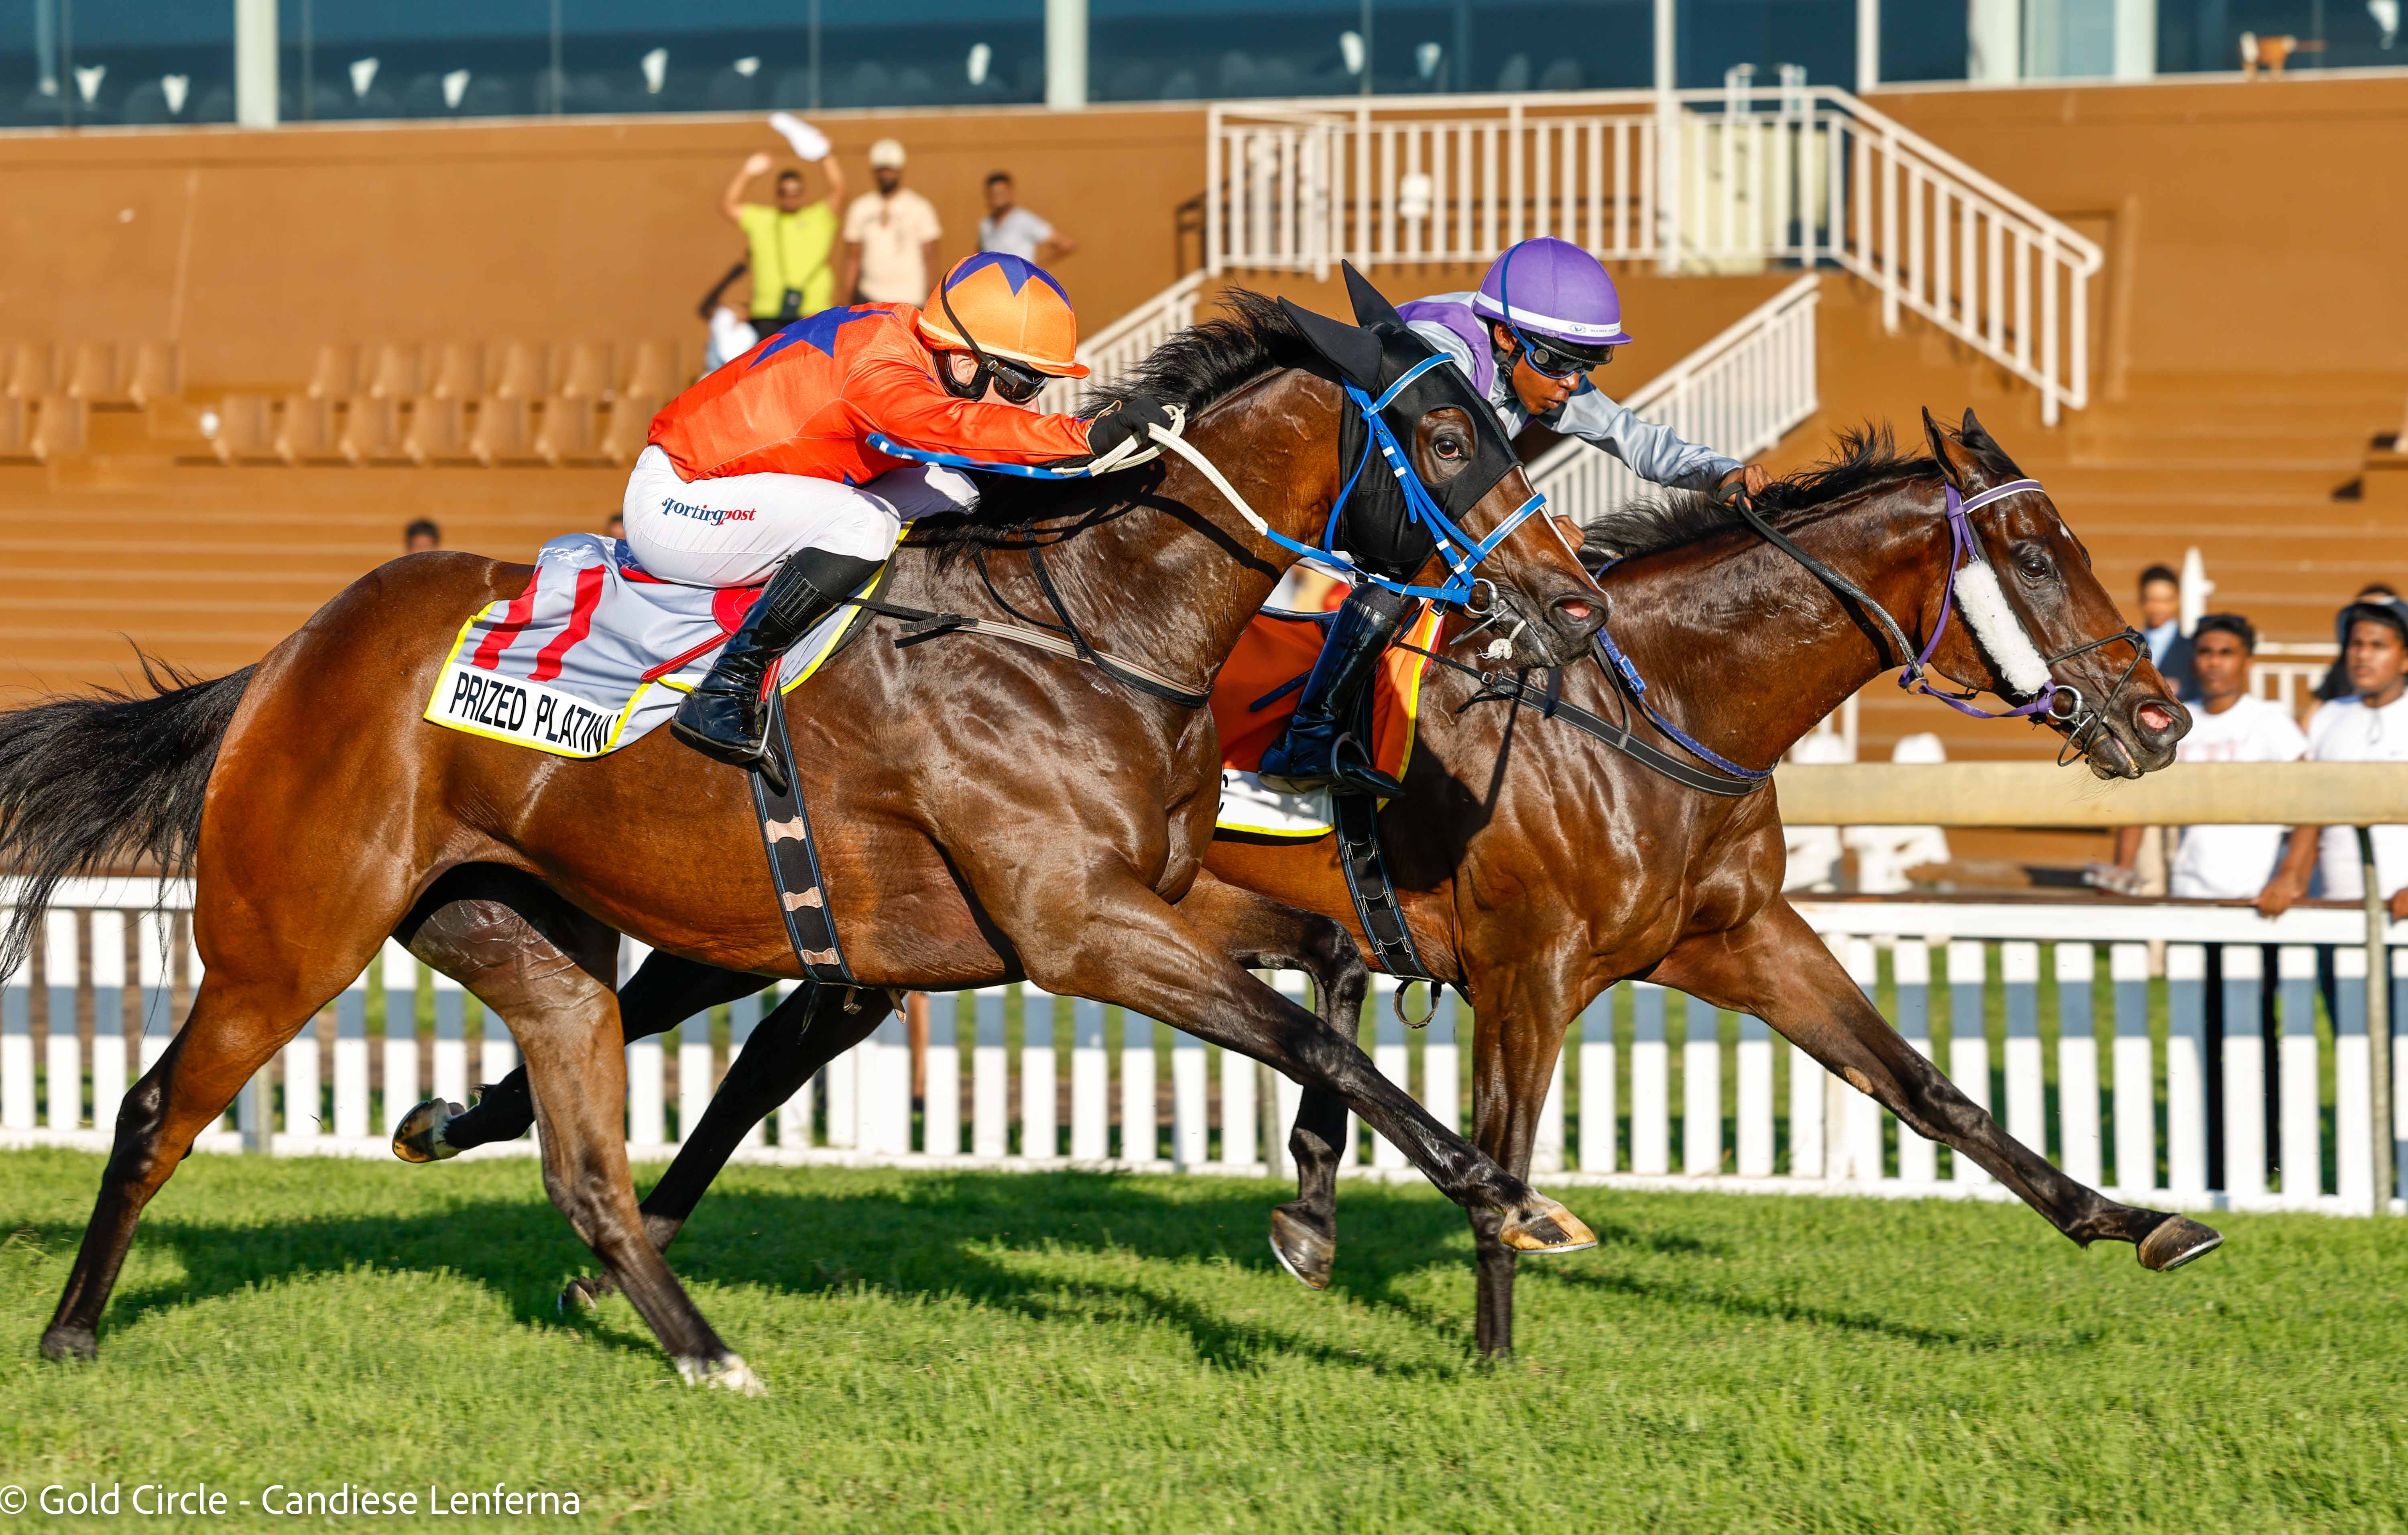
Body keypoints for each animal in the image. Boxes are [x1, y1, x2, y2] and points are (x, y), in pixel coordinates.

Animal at [0, 291, 1612, 1389]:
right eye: (1448, 436)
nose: (1574, 595)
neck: (1098, 626)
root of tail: (284, 657)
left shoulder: (1119, 903)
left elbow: (1327, 982)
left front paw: (1342, 1212)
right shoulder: (1073, 924)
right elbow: (1312, 1031)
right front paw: (1508, 1196)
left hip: (527, 941)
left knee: (589, 1168)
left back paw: (702, 1349)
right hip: (288, 932)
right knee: (156, 1107)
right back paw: (73, 1329)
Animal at [492, 410, 2221, 1359]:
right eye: (2043, 554)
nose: (2161, 717)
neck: (1655, 705)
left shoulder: (1740, 938)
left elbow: (1929, 1086)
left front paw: (2134, 1217)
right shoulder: (1531, 970)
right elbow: (1502, 1143)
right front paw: (1496, 1337)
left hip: (911, 935)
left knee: (757, 1036)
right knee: (712, 1023)